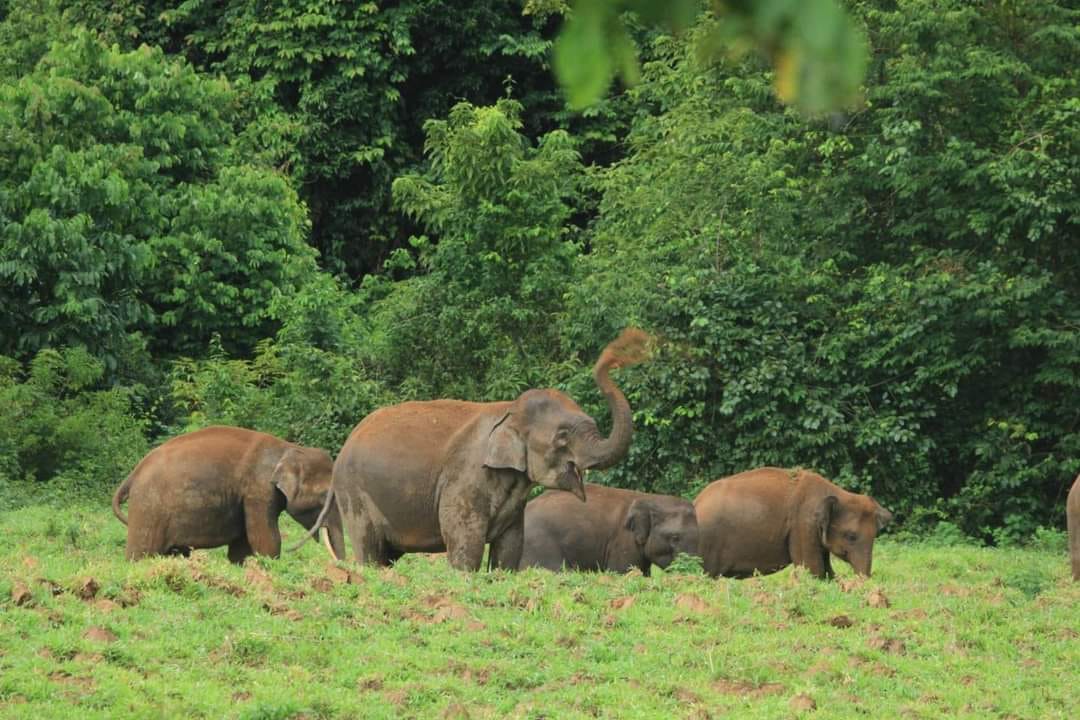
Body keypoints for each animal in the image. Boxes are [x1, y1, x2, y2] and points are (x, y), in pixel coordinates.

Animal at [111, 427, 343, 561]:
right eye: (324, 496)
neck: (289, 448)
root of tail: (134, 473)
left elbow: (243, 543)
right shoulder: (258, 490)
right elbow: (265, 537)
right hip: (148, 508)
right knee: (141, 554)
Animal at [326, 330, 648, 569]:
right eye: (562, 437)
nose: (615, 356)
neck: (509, 408)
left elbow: (510, 547)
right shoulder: (465, 480)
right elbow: (464, 542)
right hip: (354, 494)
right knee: (369, 549)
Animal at [691, 468, 894, 578]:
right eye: (851, 536)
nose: (864, 580)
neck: (839, 493)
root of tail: (696, 502)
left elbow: (826, 569)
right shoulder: (803, 524)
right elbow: (813, 568)